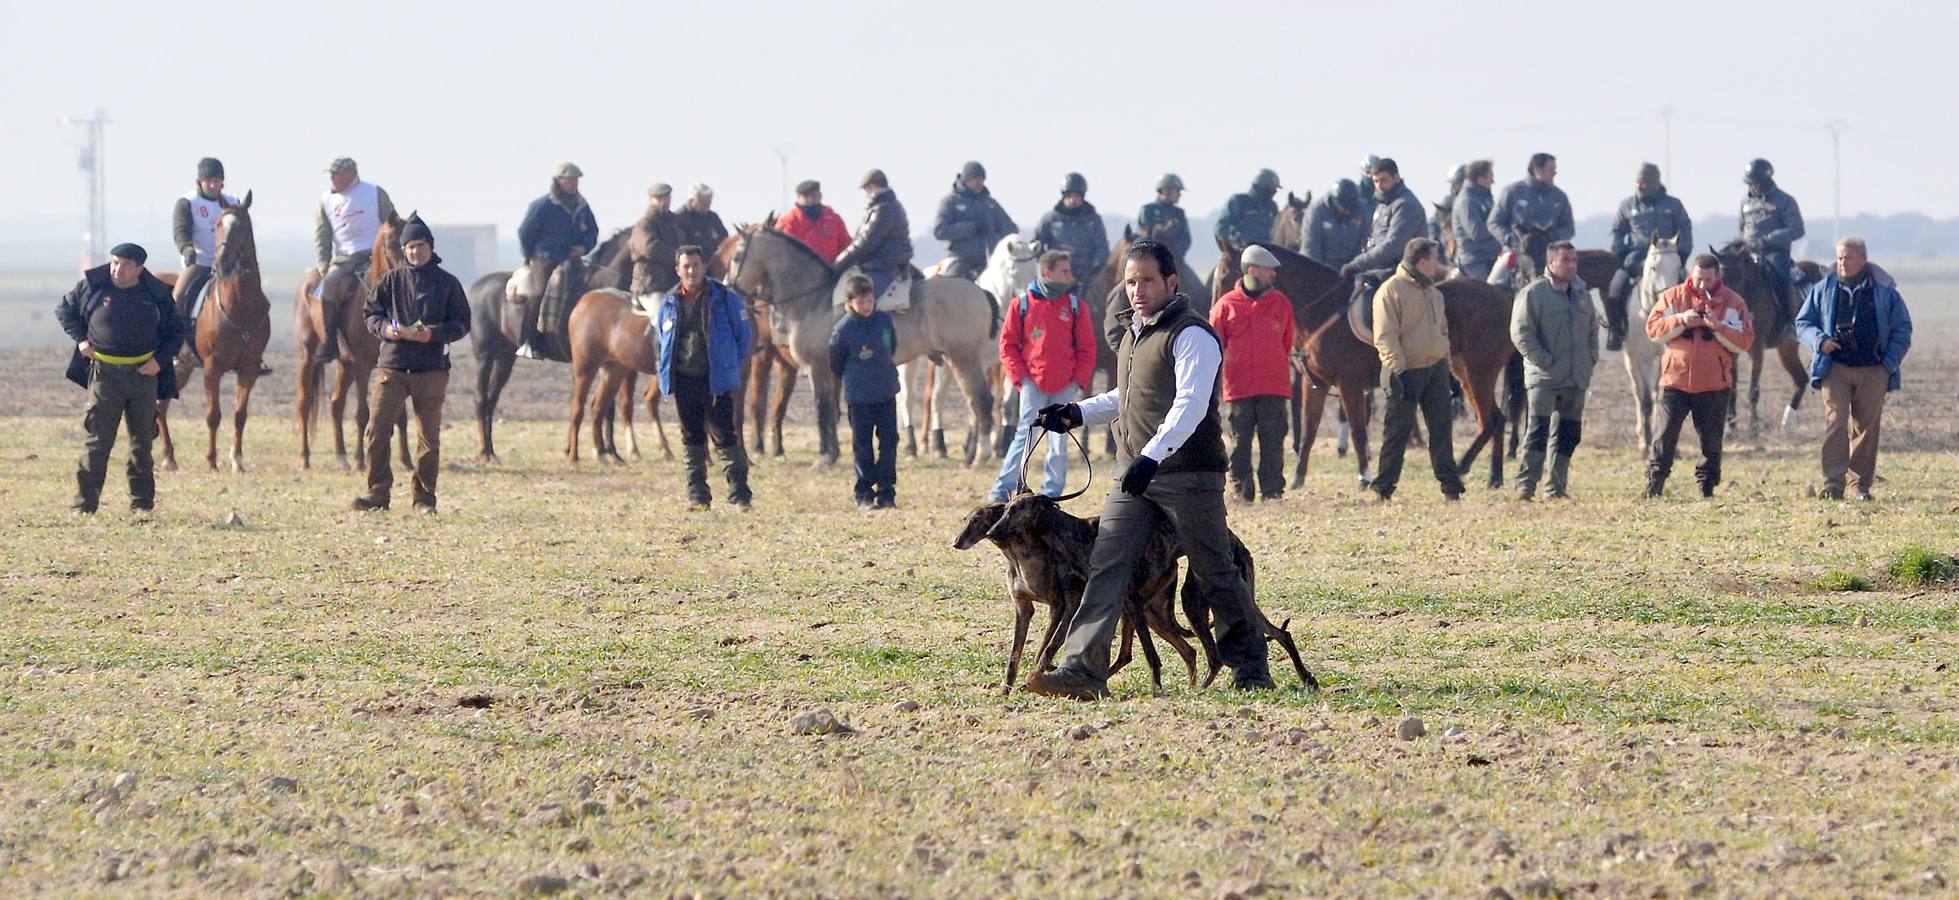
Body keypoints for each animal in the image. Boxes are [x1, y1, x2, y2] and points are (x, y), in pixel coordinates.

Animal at [154, 190, 270, 472]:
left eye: (243, 226)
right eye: (218, 224)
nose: (222, 264)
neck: (240, 307)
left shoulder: (248, 369)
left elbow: (240, 415)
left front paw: (236, 460)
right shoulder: (212, 368)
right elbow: (213, 415)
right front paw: (211, 461)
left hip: (181, 369)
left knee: (161, 407)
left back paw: (169, 457)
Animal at [720, 225, 995, 468]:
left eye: (737, 257)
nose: (728, 287)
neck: (814, 300)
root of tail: (978, 291)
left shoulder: (818, 368)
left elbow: (822, 409)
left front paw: (823, 458)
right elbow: (830, 410)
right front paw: (831, 455)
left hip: (964, 359)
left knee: (982, 401)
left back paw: (980, 457)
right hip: (956, 361)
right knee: (974, 404)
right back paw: (973, 456)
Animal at [1622, 238, 1684, 458]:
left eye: (1678, 267)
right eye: (1654, 267)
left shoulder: (1663, 355)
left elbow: (1660, 396)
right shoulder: (1638, 356)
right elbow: (1646, 400)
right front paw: (1647, 445)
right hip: (1630, 357)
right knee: (1637, 392)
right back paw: (1642, 438)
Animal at [1716, 241, 1817, 435]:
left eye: (1736, 277)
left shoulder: (1757, 348)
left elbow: (1753, 390)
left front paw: (1753, 428)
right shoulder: (1732, 350)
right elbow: (1732, 388)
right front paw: (1731, 427)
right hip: (1786, 348)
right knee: (1801, 379)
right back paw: (1787, 421)